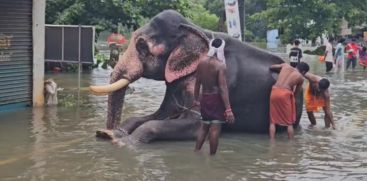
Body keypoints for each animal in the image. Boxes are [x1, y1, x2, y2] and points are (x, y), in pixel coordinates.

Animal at [90, 9, 304, 144]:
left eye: (142, 46)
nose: (106, 130)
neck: (194, 28)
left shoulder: (219, 78)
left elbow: (195, 124)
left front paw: (123, 142)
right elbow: (160, 114)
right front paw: (113, 134)